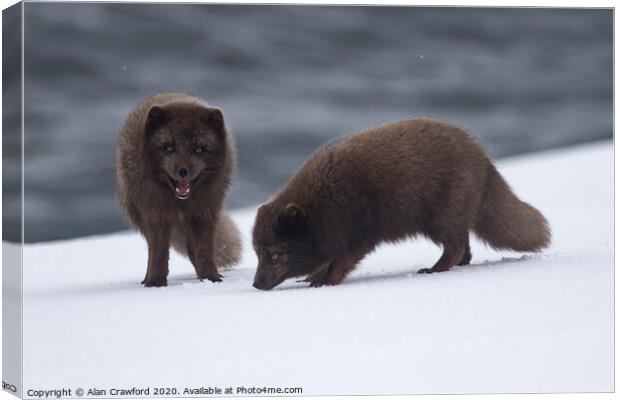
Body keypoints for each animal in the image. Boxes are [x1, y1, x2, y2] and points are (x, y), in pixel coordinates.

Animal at [115, 92, 241, 286]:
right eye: (169, 147)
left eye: (199, 149)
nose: (183, 171)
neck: (180, 202)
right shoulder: (156, 214)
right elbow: (158, 251)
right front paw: (156, 283)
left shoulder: (204, 213)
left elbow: (204, 250)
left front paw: (211, 279)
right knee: (152, 249)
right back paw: (146, 279)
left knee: (192, 249)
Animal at [252, 117, 552, 290]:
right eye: (257, 253)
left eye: (275, 253)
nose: (256, 284)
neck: (323, 205)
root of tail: (484, 159)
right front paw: (312, 276)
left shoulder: (358, 236)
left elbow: (340, 262)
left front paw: (323, 281)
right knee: (464, 247)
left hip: (441, 216)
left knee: (455, 246)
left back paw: (435, 269)